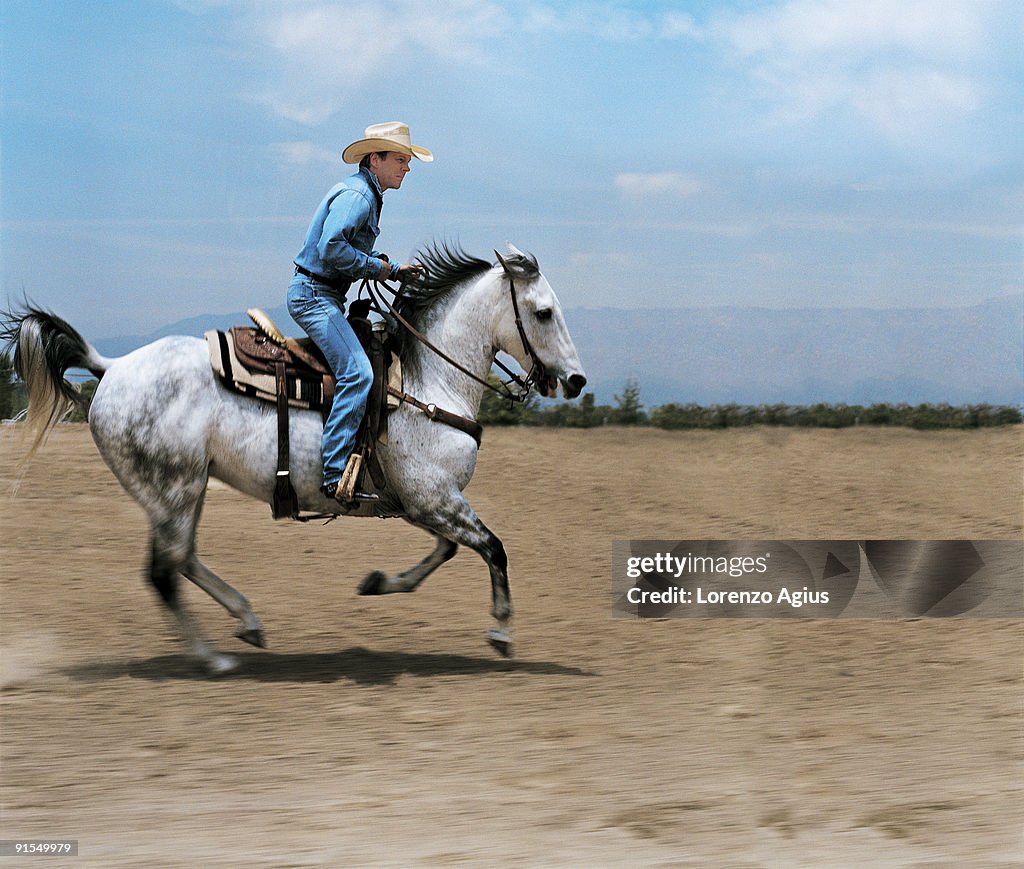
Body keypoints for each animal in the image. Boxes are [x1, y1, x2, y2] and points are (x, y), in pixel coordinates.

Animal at [6, 242, 585, 671]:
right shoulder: (434, 498)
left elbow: (446, 551)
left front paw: (378, 583)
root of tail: (113, 367)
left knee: (181, 559)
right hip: (173, 490)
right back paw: (211, 657)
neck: (426, 383)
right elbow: (493, 548)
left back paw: (247, 622)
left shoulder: (419, 503)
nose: (576, 380)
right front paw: (501, 630)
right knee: (164, 572)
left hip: (183, 491)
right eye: (543, 312)